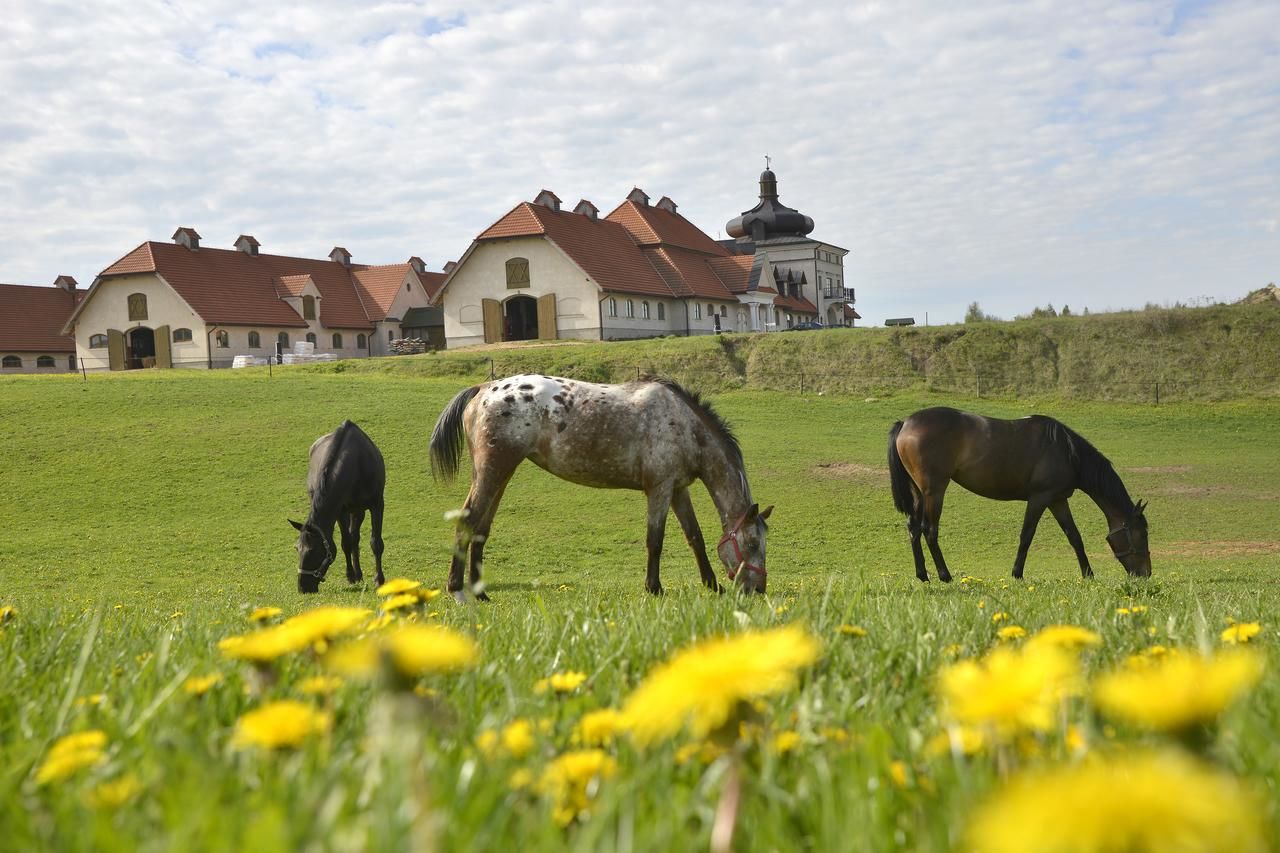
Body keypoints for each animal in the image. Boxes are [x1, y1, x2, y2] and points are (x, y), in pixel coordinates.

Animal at [289, 417, 384, 591]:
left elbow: (376, 543)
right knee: (353, 539)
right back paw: (357, 574)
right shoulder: (340, 511)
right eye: (297, 548)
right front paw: (351, 576)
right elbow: (346, 543)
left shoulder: (377, 504)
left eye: (313, 551)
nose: (303, 587)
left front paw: (379, 579)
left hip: (359, 510)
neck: (356, 463)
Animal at [427, 371, 768, 596]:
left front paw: (712, 585)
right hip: (493, 470)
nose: (759, 590)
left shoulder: (678, 489)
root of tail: (484, 388)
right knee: (467, 520)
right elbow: (655, 541)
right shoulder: (659, 488)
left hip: (501, 473)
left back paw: (480, 592)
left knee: (481, 528)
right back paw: (456, 589)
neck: (685, 425)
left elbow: (694, 537)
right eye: (752, 544)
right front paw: (654, 588)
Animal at [890, 407, 1152, 581]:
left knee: (913, 528)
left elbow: (1074, 537)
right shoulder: (1039, 498)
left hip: (918, 492)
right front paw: (1017, 573)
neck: (1067, 452)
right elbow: (1027, 535)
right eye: (1142, 535)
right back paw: (945, 575)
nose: (1146, 574)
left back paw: (922, 575)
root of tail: (906, 423)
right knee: (929, 530)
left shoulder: (1058, 500)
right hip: (934, 491)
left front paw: (1088, 574)